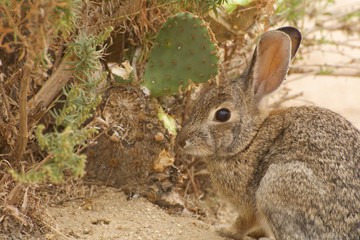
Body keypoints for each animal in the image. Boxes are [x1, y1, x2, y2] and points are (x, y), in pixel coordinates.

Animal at [176, 27, 360, 239]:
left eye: (222, 114)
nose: (181, 141)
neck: (249, 140)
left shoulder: (248, 205)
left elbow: (244, 222)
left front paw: (225, 230)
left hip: (276, 185)